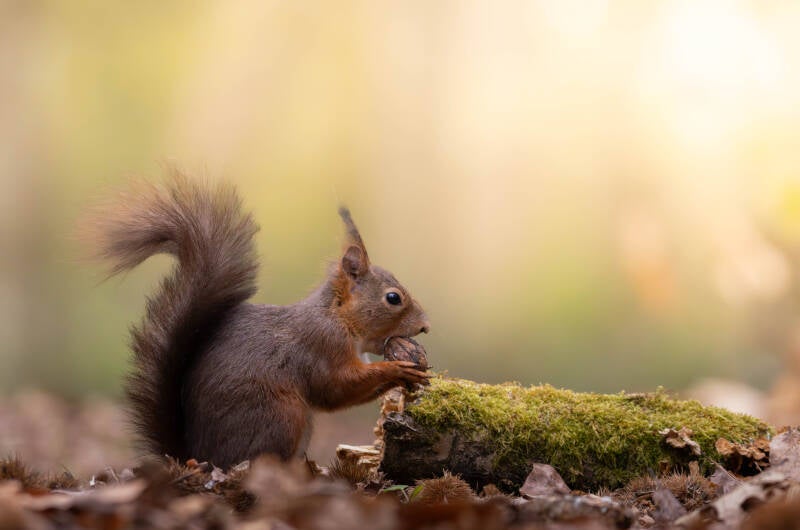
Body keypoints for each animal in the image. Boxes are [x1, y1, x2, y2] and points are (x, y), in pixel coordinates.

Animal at [89, 170, 431, 468]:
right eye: (393, 298)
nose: (425, 326)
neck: (337, 318)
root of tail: (199, 458)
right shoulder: (321, 346)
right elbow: (336, 388)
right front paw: (396, 368)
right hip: (281, 416)